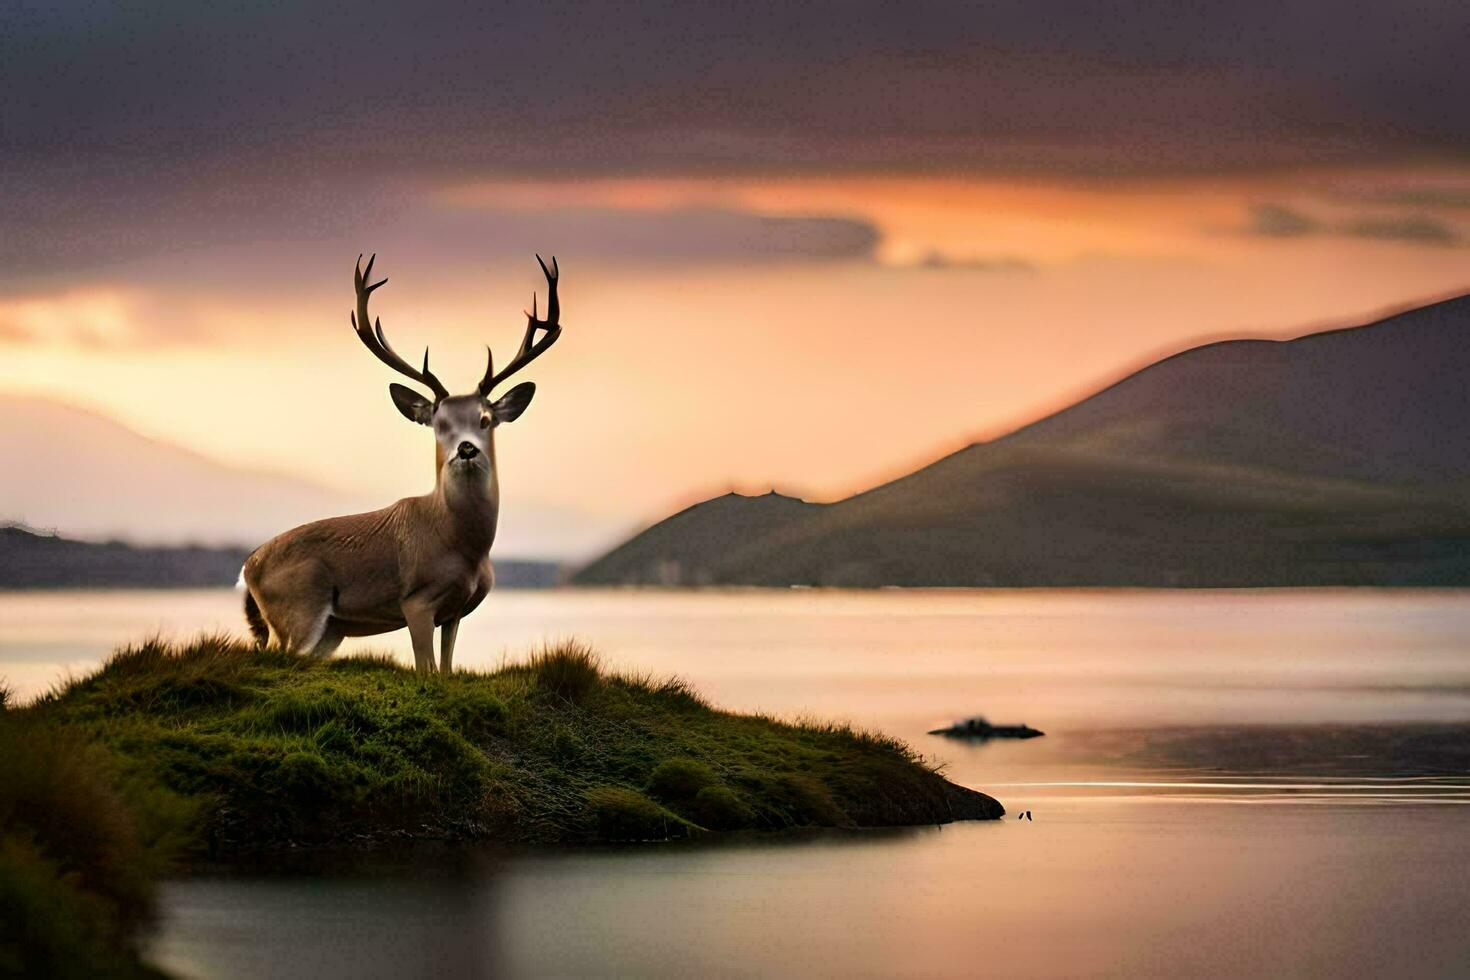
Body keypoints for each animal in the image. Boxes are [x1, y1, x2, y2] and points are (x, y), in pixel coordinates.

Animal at [241, 252, 561, 675]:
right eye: (439, 423)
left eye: (485, 419)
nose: (466, 449)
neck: (463, 545)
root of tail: (248, 568)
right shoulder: (416, 600)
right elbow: (426, 668)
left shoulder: (456, 610)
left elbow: (446, 669)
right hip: (299, 609)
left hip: (331, 629)